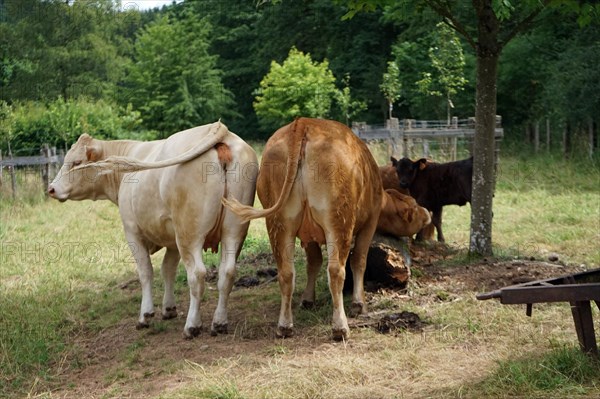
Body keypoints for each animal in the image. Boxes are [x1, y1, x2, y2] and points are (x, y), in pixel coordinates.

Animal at [48, 121, 258, 338]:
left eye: (76, 162)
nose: (51, 189)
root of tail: (219, 130)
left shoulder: (132, 231)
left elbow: (146, 272)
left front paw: (145, 315)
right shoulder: (172, 240)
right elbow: (168, 270)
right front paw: (169, 308)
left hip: (189, 235)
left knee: (197, 274)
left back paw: (192, 325)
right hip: (233, 231)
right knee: (227, 272)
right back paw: (219, 322)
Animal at [223, 117, 382, 342]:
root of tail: (304, 123)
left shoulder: (308, 236)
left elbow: (313, 262)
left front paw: (307, 299)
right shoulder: (371, 220)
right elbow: (359, 260)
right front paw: (359, 304)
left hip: (279, 224)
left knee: (286, 273)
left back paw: (284, 326)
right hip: (338, 221)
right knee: (336, 270)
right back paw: (340, 327)